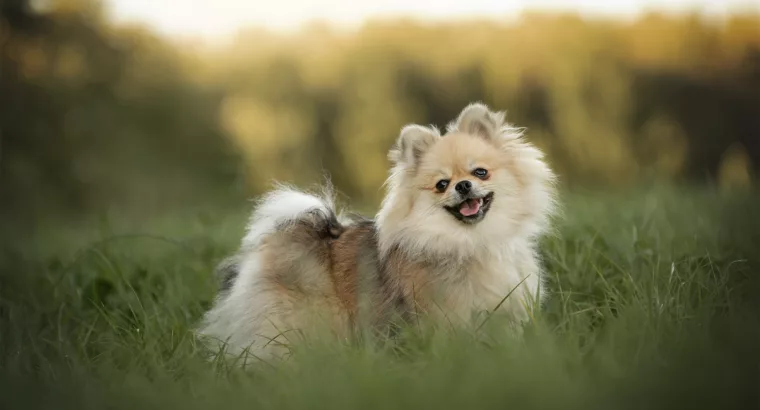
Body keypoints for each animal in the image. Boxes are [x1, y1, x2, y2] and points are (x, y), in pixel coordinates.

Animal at [199, 102, 556, 362]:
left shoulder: (508, 312)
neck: (471, 241)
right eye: (442, 184)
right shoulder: (447, 317)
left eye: (480, 172)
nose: (463, 185)